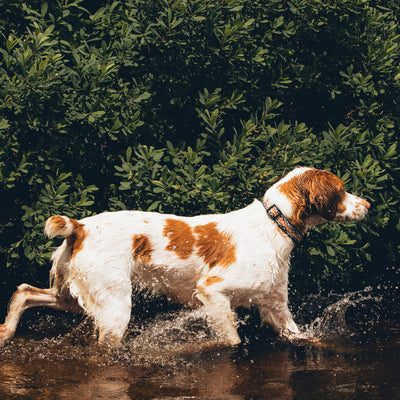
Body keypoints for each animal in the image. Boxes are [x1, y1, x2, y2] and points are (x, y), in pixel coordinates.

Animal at [0, 166, 370, 346]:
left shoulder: (275, 306)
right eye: (341, 191)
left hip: (76, 295)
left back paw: (6, 332)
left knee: (23, 291)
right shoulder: (213, 291)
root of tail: (80, 227)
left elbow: (304, 338)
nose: (367, 203)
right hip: (114, 307)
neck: (273, 226)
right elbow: (232, 341)